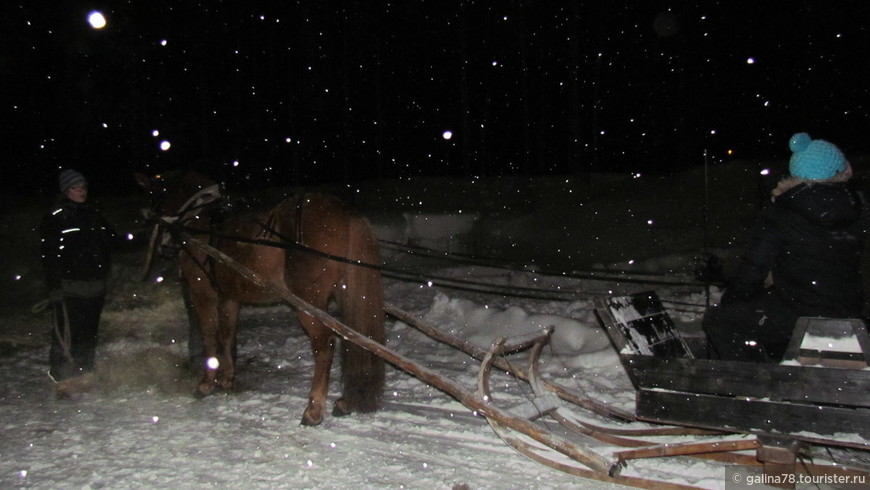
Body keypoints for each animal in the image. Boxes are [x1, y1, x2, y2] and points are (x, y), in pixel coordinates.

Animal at [135, 169, 384, 424]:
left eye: (153, 193)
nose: (164, 246)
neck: (200, 219)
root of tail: (345, 212)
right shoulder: (229, 297)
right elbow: (227, 335)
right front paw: (227, 378)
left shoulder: (202, 294)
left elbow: (209, 336)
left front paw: (206, 384)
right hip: (347, 295)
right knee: (355, 338)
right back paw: (346, 402)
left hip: (308, 303)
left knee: (325, 346)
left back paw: (313, 410)